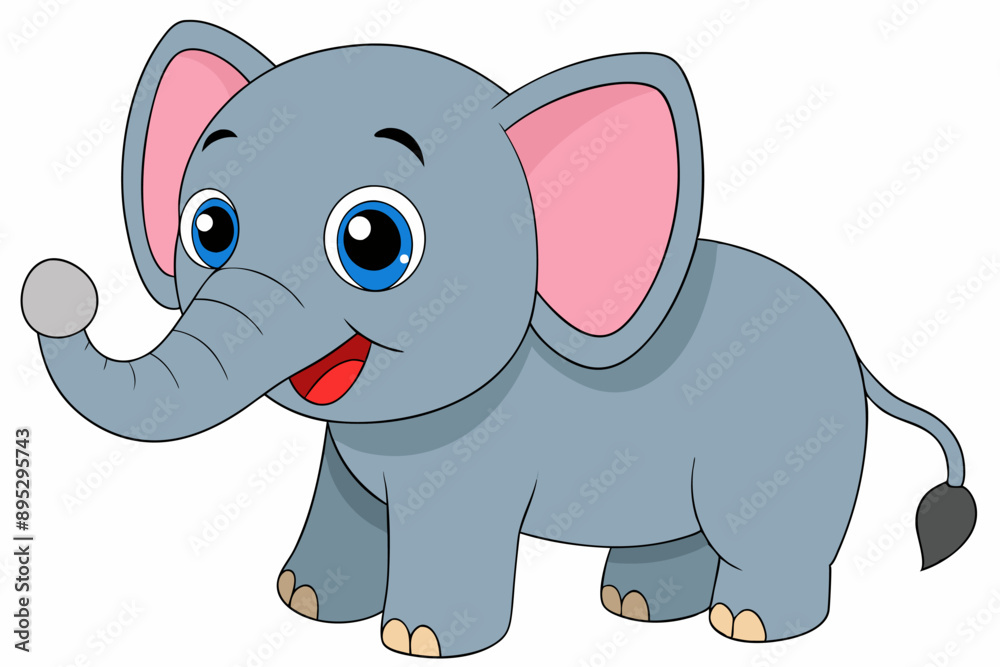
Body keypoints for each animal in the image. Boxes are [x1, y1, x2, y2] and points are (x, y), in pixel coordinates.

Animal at [20, 20, 977, 658]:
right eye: (209, 228)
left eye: (373, 241)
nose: (53, 290)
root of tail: (856, 349)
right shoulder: (351, 453)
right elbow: (350, 506)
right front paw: (306, 603)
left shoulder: (477, 457)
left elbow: (450, 525)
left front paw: (418, 639)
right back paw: (637, 605)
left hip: (789, 437)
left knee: (765, 531)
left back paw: (746, 626)